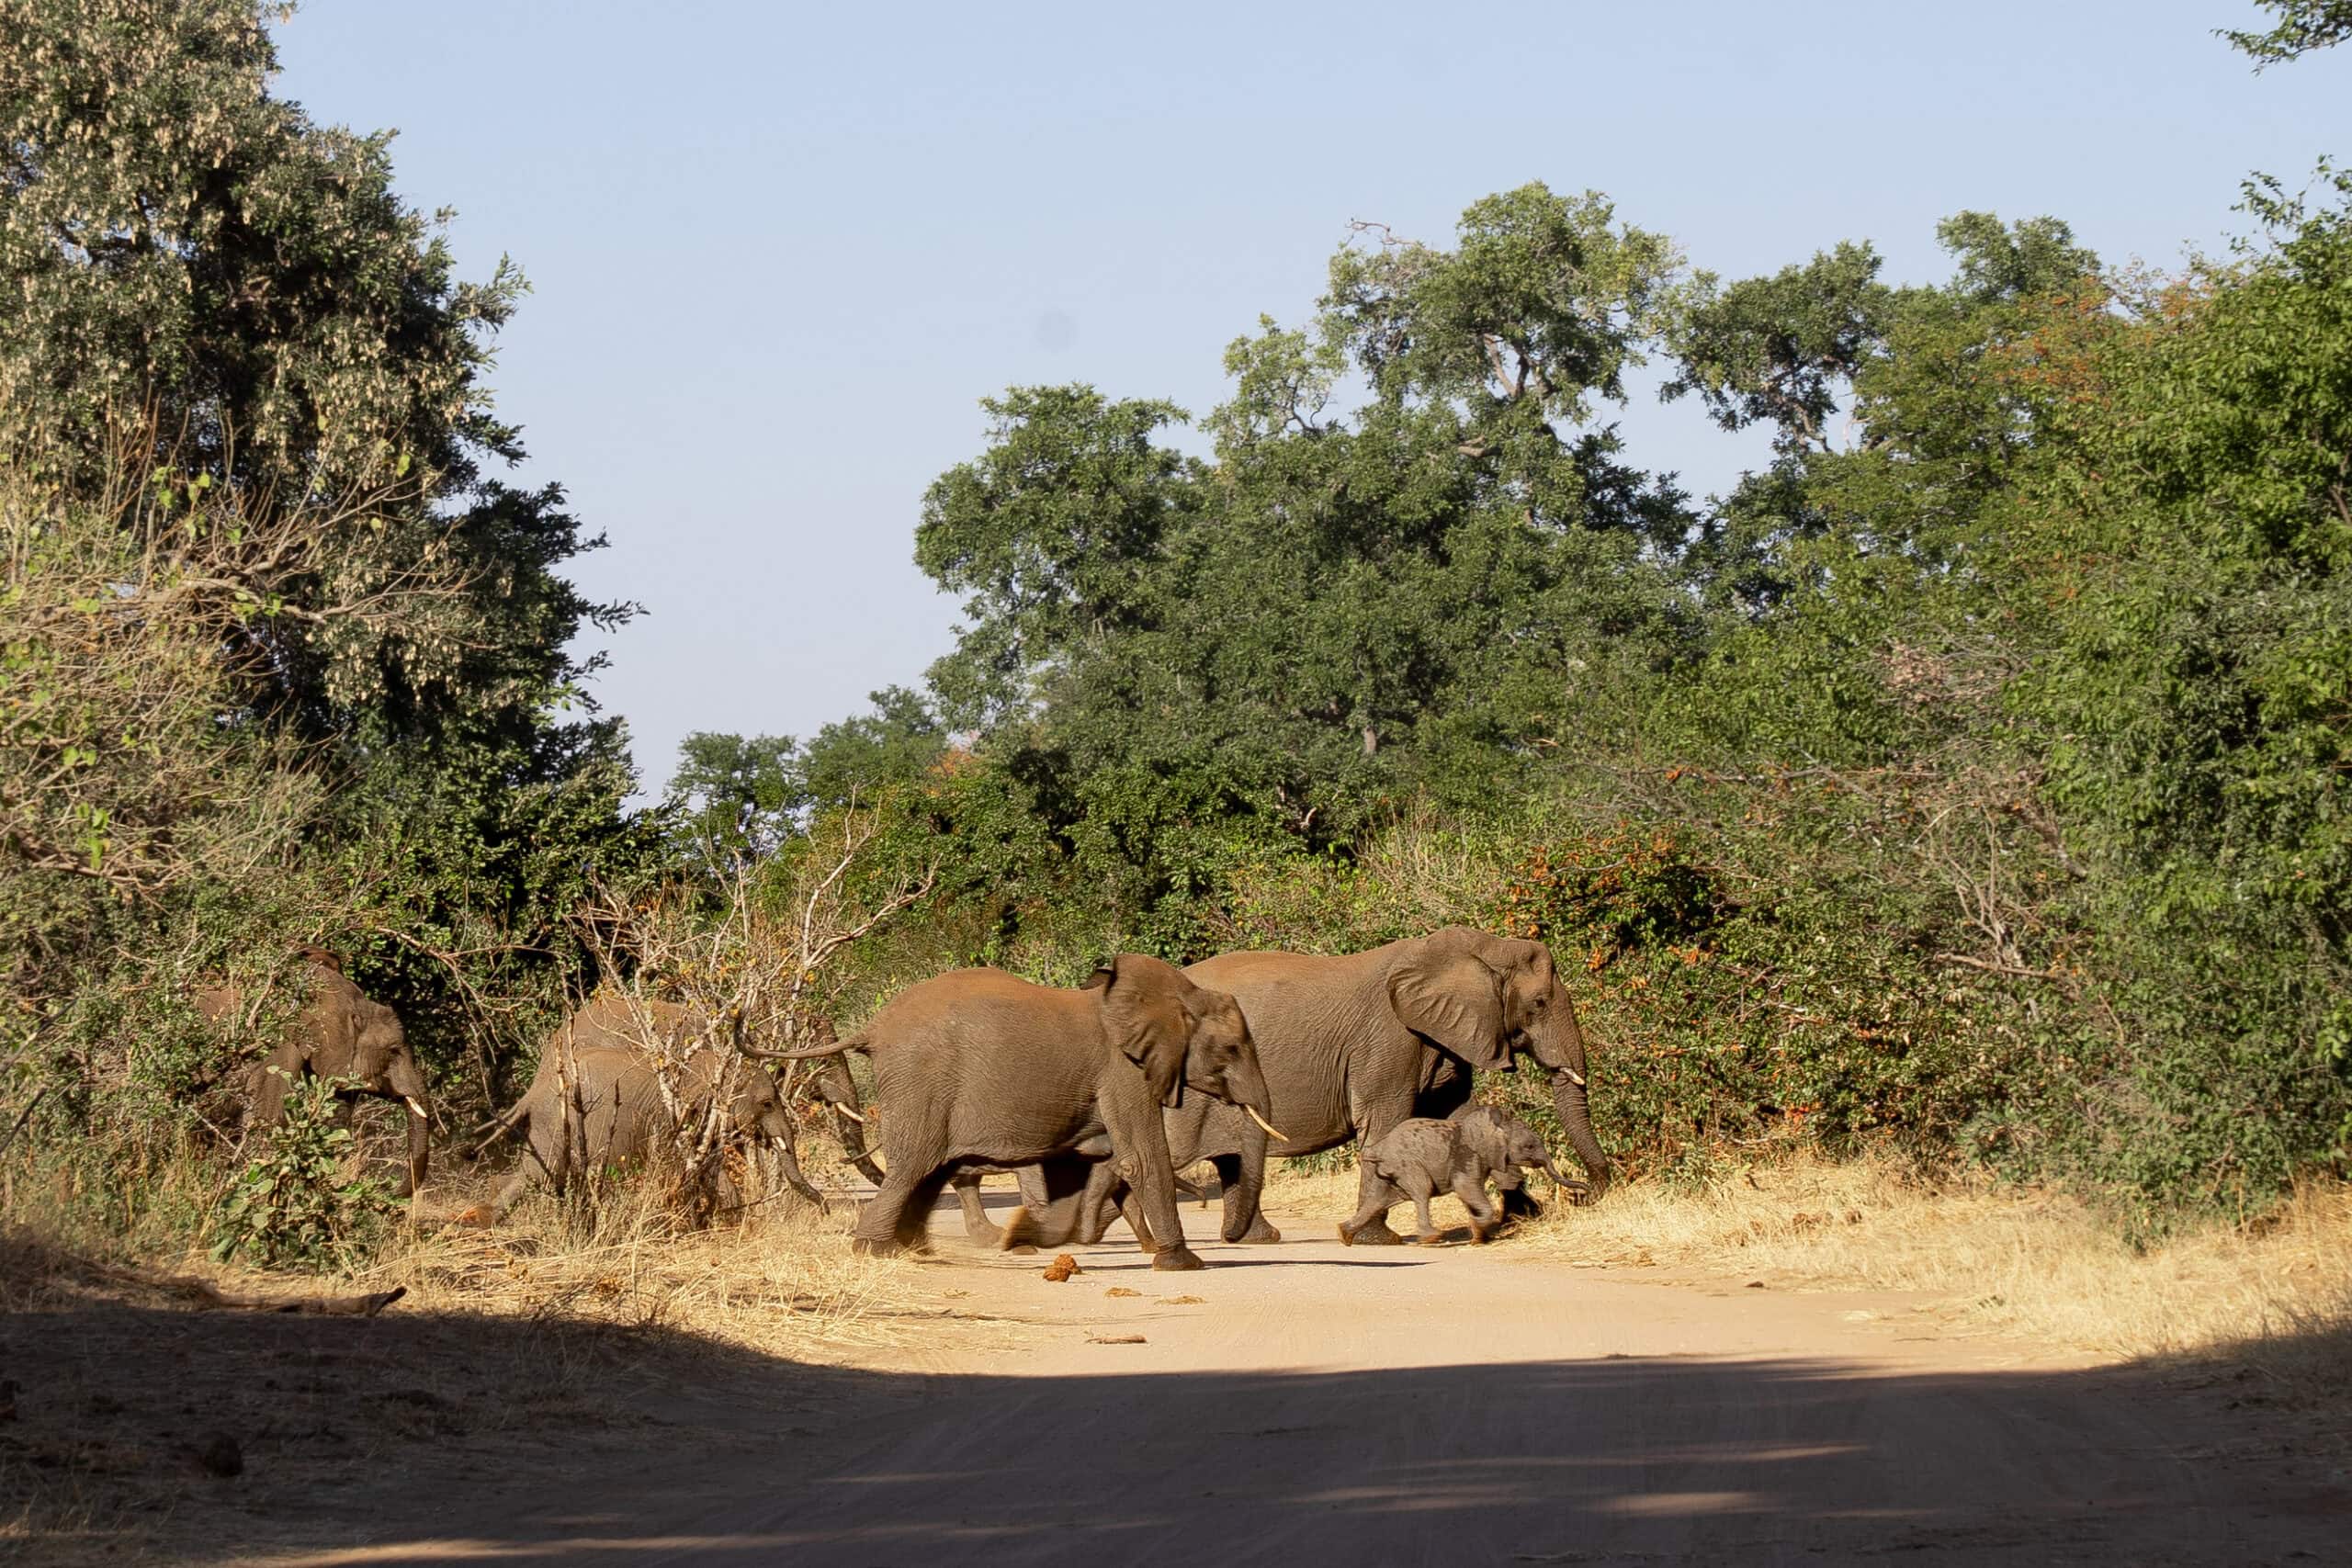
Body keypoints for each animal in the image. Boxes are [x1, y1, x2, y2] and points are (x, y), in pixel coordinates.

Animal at [472, 995, 820, 1220]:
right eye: (766, 1103)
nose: (825, 1207)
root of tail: (530, 1094)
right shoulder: (679, 1114)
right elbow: (696, 1166)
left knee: (528, 1177)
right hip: (555, 1125)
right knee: (539, 1176)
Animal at [774, 955, 1277, 1269]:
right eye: (1232, 1048)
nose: (1229, 1234)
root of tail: (874, 1026)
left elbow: (1087, 1166)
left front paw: (1031, 1238)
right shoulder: (1123, 1071)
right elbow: (1140, 1158)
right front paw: (1184, 1264)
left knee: (928, 1169)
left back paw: (915, 1249)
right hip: (921, 1080)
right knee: (915, 1162)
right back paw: (877, 1251)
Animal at [1339, 1105, 1567, 1246]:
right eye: (1529, 1147)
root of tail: (1378, 1151)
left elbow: (1470, 1196)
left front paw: (1477, 1237)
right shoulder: (1468, 1157)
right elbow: (1467, 1189)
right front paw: (1477, 1228)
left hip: (1388, 1172)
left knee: (1377, 1199)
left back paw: (1344, 1234)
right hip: (1407, 1165)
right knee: (1422, 1190)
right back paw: (1431, 1238)